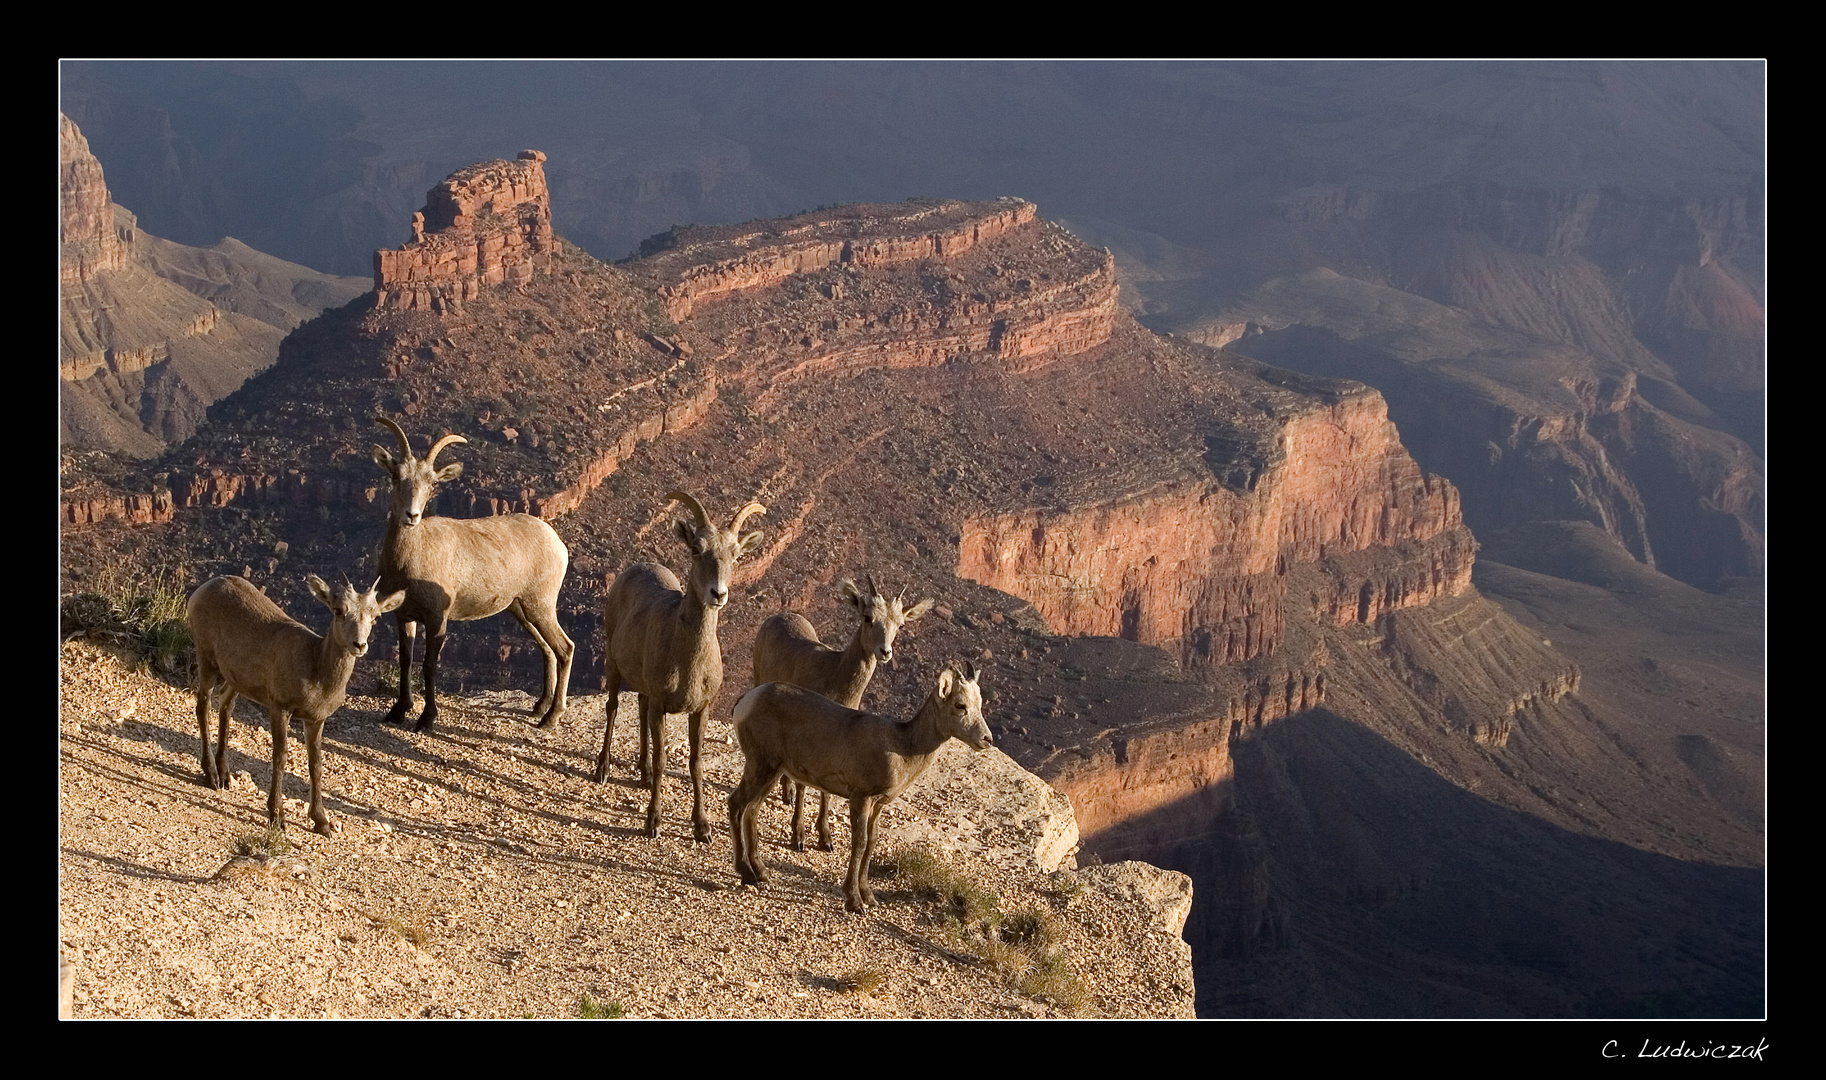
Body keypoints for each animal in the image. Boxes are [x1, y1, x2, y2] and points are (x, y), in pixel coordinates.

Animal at [183, 573, 401, 836]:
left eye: (375, 616)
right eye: (338, 610)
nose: (359, 645)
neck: (316, 667)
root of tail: (206, 587)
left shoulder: (315, 720)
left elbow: (315, 765)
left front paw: (322, 822)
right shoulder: (280, 708)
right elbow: (280, 757)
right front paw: (277, 817)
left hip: (235, 679)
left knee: (225, 704)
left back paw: (225, 776)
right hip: (206, 660)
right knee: (202, 706)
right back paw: (212, 776)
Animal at [368, 418, 569, 730]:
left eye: (433, 483)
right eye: (395, 476)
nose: (411, 515)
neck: (410, 558)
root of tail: (558, 544)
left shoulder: (437, 619)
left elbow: (429, 665)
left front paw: (427, 718)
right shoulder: (404, 616)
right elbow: (405, 660)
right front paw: (398, 711)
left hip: (542, 604)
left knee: (564, 648)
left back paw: (551, 717)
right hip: (520, 608)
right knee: (547, 649)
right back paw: (538, 708)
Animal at [598, 493, 763, 844]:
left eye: (737, 555)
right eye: (696, 549)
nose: (718, 593)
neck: (688, 660)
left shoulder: (701, 709)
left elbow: (695, 763)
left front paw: (702, 828)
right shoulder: (662, 704)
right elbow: (663, 760)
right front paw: (653, 822)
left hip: (643, 687)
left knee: (639, 708)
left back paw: (643, 774)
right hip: (612, 664)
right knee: (613, 707)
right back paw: (602, 769)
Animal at [726, 657, 993, 913]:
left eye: (979, 705)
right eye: (960, 705)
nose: (987, 739)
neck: (903, 746)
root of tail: (746, 700)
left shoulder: (878, 805)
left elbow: (872, 842)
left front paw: (869, 896)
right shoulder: (860, 798)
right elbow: (860, 842)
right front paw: (854, 901)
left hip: (771, 773)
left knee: (752, 810)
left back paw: (762, 872)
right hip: (761, 767)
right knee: (736, 805)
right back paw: (747, 874)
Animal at [748, 573, 934, 855]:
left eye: (900, 625)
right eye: (867, 617)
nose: (885, 652)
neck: (834, 675)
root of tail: (778, 616)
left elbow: (826, 789)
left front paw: (826, 838)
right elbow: (805, 784)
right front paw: (798, 837)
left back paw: (786, 793)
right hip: (759, 679)